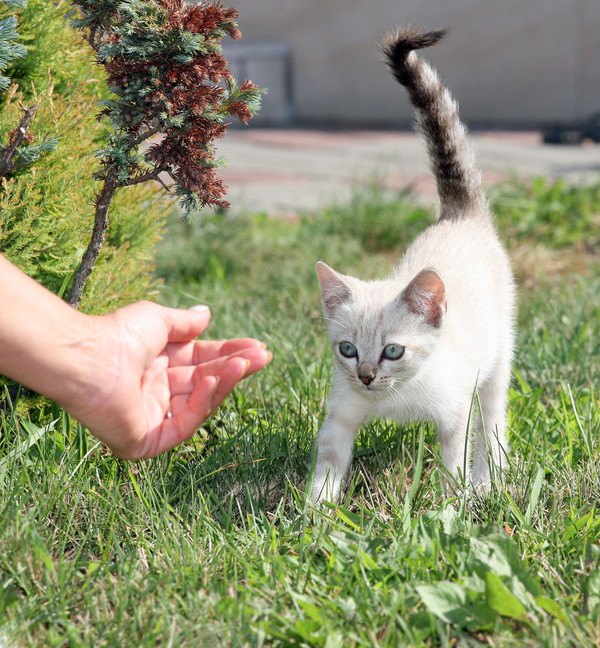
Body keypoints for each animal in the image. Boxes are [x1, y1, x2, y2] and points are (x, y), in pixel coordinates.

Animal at [310, 26, 516, 502]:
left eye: (393, 351)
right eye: (347, 349)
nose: (366, 376)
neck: (396, 398)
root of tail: (458, 215)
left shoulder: (456, 412)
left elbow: (454, 464)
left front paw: (453, 506)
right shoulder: (339, 417)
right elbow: (327, 465)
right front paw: (314, 513)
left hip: (498, 360)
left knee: (493, 424)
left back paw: (490, 483)